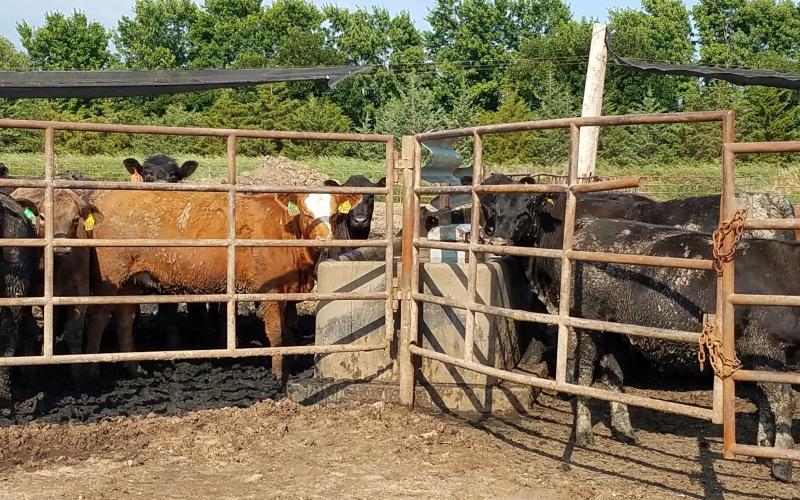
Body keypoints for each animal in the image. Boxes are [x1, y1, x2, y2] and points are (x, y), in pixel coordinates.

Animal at [82, 190, 362, 383]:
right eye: (306, 213)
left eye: (336, 215)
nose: (326, 241)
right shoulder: (270, 291)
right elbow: (277, 333)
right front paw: (278, 376)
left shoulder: (291, 291)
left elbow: (290, 331)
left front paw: (290, 364)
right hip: (111, 275)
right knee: (97, 318)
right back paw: (92, 371)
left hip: (130, 281)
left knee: (123, 318)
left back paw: (133, 367)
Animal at [479, 178, 799, 482]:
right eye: (493, 209)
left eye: (525, 210)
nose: (498, 241)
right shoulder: (763, 348)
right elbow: (781, 402)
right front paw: (780, 460)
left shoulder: (764, 353)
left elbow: (773, 401)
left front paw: (767, 451)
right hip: (592, 325)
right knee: (588, 373)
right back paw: (584, 431)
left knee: (609, 372)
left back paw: (620, 428)